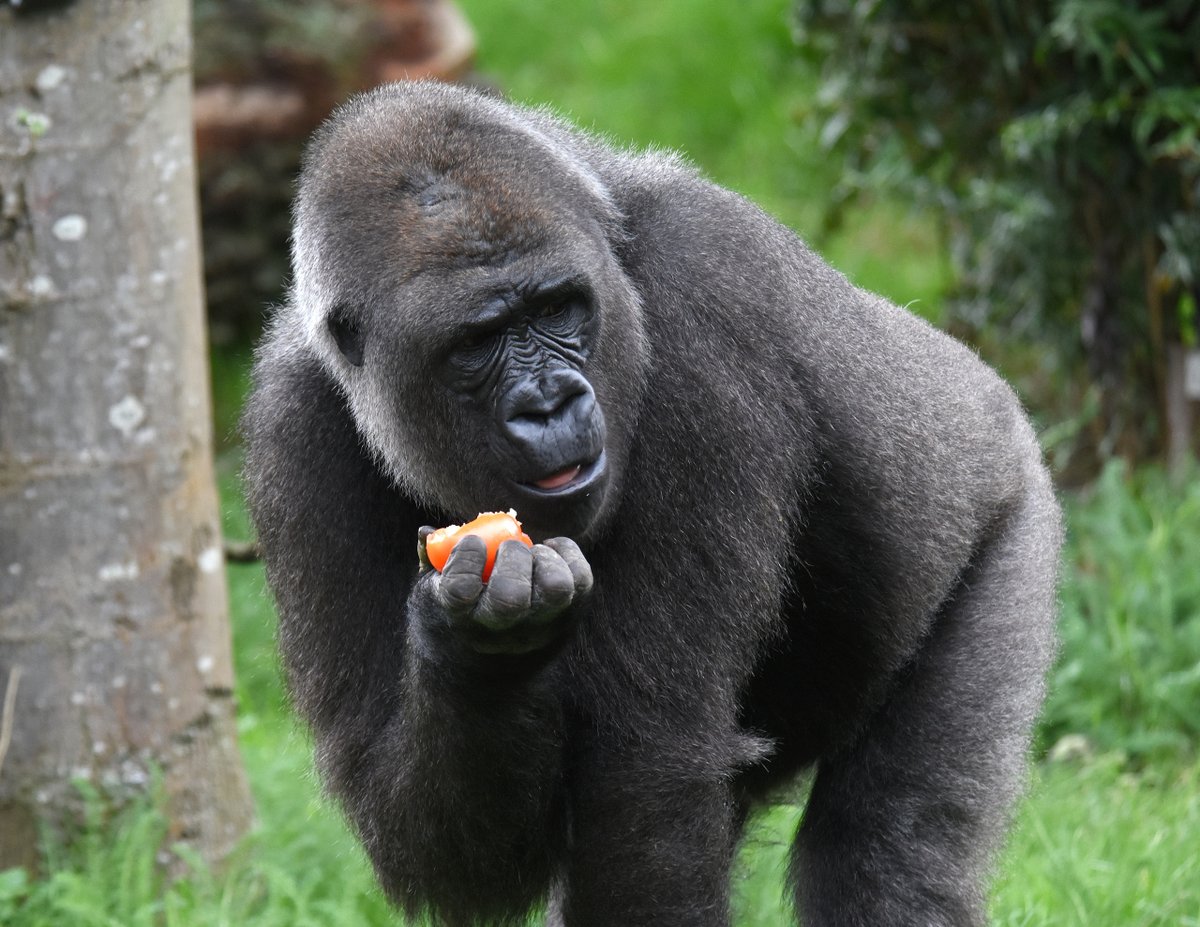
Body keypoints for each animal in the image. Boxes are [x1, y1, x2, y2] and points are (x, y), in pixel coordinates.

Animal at [242, 80, 1061, 927]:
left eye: (558, 309)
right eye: (477, 340)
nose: (548, 402)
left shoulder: (705, 306)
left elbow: (648, 773)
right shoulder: (290, 432)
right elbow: (436, 851)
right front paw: (483, 651)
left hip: (1011, 518)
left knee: (887, 853)